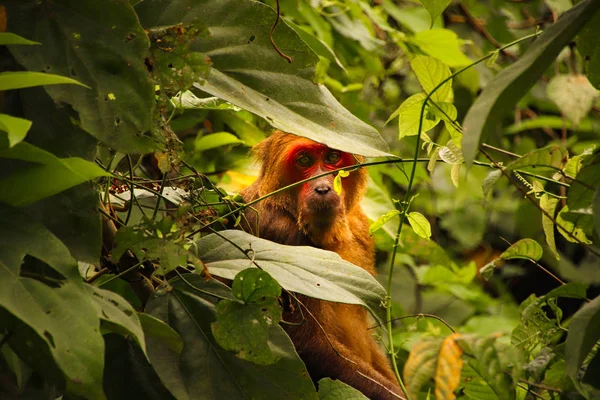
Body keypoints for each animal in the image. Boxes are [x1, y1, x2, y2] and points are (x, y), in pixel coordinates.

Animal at [240, 131, 404, 400]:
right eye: (304, 160)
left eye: (333, 157)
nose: (323, 187)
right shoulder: (280, 235)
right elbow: (310, 346)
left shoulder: (359, 225)